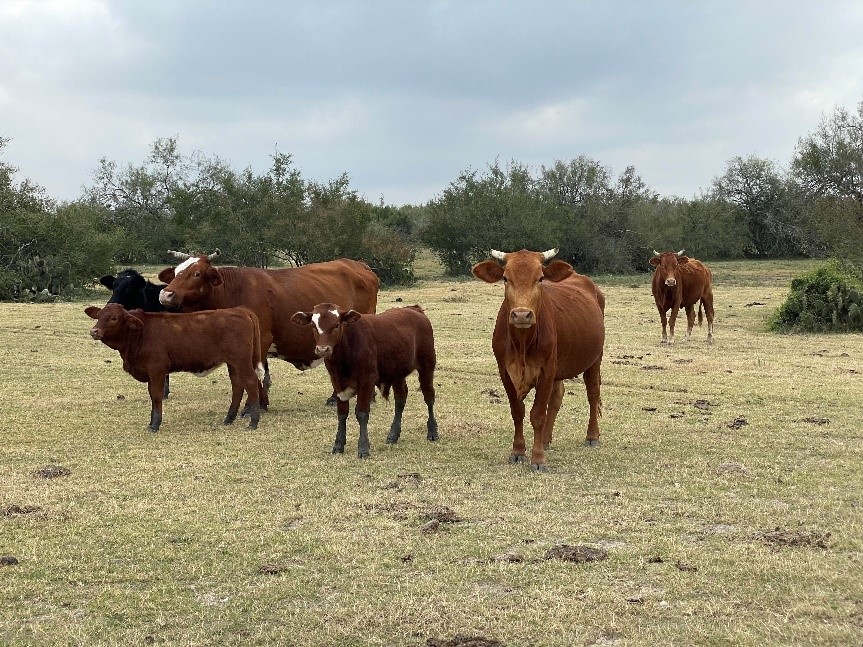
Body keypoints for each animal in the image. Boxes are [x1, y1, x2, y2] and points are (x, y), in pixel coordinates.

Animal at [87, 302, 264, 432]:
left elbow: (156, 395)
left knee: (251, 382)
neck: (141, 332)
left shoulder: (157, 370)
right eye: (98, 316)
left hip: (242, 361)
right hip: (232, 363)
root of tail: (240, 310)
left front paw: (155, 424)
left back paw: (253, 422)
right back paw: (229, 418)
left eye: (114, 318)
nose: (94, 331)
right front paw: (151, 422)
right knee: (237, 385)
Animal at [157, 251, 380, 412]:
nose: (165, 294)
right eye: (176, 273)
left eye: (196, 274)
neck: (233, 290)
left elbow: (255, 374)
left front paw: (252, 406)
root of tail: (359, 265)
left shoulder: (261, 340)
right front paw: (260, 403)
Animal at [290, 306, 438, 460]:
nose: (323, 349)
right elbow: (342, 414)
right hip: (397, 372)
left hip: (427, 365)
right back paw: (393, 435)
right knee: (400, 398)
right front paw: (338, 445)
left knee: (429, 396)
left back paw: (432, 431)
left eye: (337, 324)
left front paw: (363, 448)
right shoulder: (337, 384)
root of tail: (414, 309)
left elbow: (361, 413)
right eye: (313, 326)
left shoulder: (366, 381)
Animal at [472, 248, 608, 470]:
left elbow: (537, 415)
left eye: (541, 278)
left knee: (593, 394)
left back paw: (592, 436)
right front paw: (518, 451)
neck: (522, 343)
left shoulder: (546, 371)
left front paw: (537, 458)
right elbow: (517, 411)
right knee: (557, 397)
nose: (521, 315)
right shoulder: (505, 372)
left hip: (594, 359)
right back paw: (545, 439)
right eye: (505, 278)